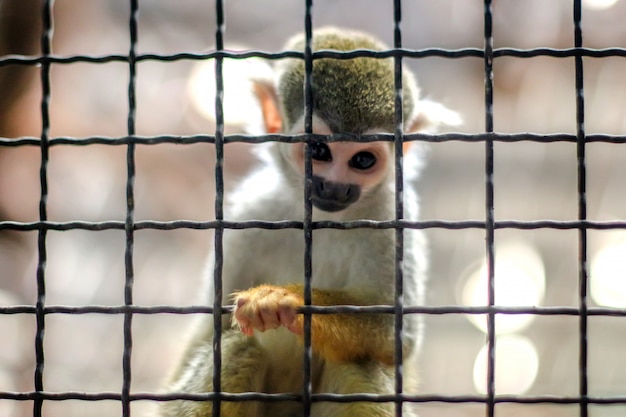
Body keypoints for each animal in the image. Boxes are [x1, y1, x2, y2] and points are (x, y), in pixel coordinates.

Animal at [158, 26, 456, 416]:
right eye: (318, 151)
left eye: (362, 160)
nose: (334, 187)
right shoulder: (250, 212)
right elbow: (209, 334)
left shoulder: (392, 215)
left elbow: (394, 332)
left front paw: (281, 299)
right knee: (237, 347)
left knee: (362, 361)